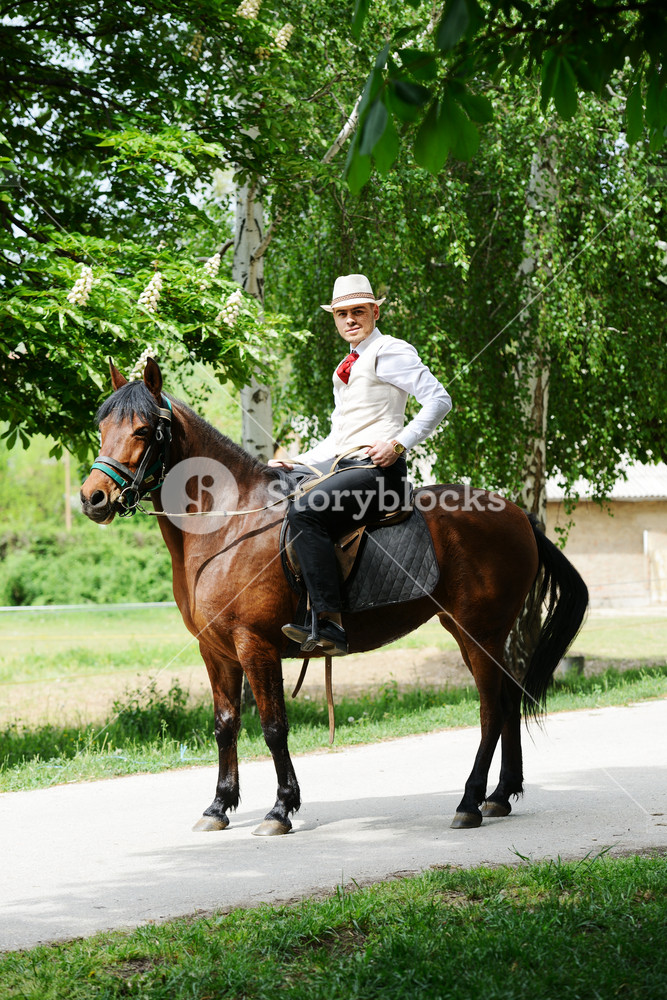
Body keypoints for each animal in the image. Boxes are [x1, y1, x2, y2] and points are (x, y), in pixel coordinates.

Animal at [80, 359, 589, 836]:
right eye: (102, 427)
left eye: (143, 429)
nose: (93, 497)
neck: (227, 524)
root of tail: (518, 515)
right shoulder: (216, 650)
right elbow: (226, 725)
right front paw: (218, 807)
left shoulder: (255, 645)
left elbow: (273, 727)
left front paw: (281, 809)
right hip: (478, 632)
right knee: (508, 699)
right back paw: (500, 795)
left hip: (478, 630)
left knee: (490, 708)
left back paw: (469, 802)